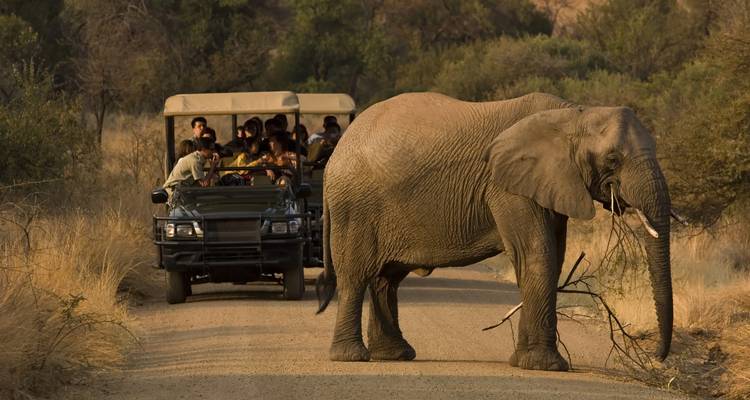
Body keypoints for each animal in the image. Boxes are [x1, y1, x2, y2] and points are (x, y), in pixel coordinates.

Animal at [315, 92, 673, 371]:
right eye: (613, 159)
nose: (657, 357)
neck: (573, 113)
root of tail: (336, 153)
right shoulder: (507, 187)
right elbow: (537, 253)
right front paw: (545, 366)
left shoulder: (547, 183)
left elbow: (553, 257)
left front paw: (525, 361)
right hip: (355, 208)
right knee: (355, 276)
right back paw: (353, 357)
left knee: (386, 279)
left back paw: (395, 355)